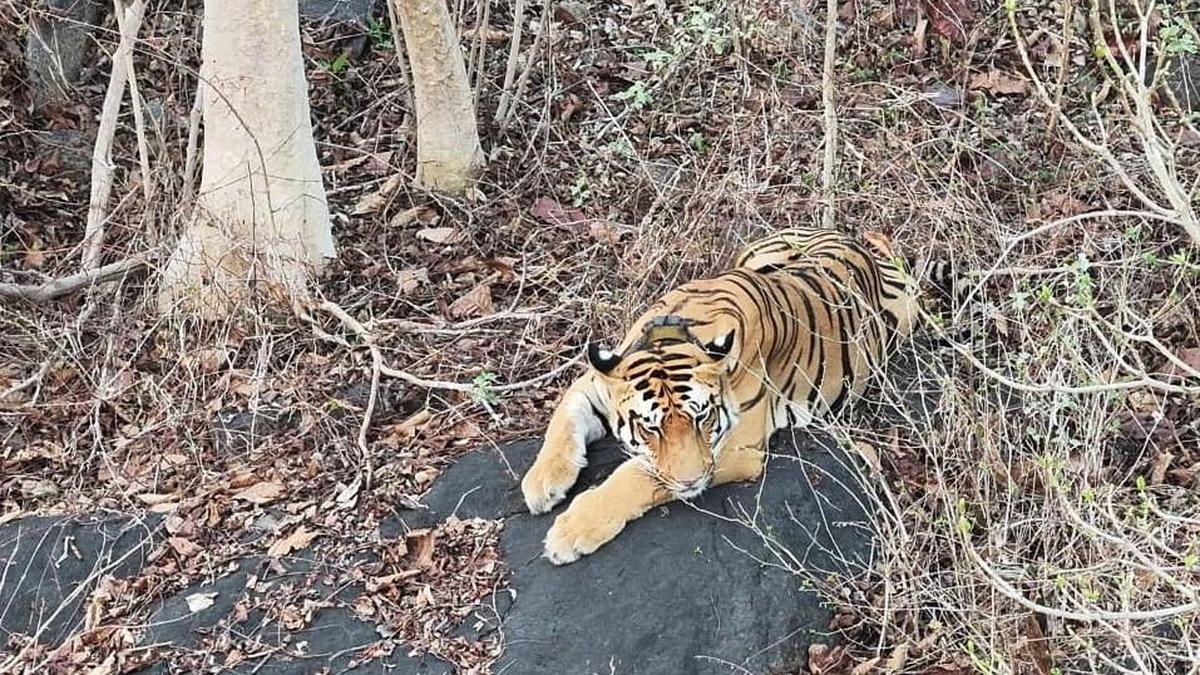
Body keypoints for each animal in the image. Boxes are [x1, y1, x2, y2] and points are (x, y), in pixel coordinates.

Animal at [521, 227, 927, 564]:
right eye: (651, 429)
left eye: (703, 418)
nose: (690, 483)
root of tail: (859, 241)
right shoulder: (596, 382)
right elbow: (562, 419)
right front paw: (541, 482)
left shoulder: (734, 449)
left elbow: (637, 475)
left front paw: (571, 530)